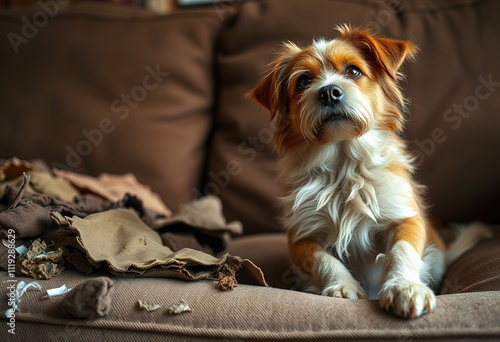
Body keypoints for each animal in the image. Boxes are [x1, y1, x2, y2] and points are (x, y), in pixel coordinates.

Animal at [248, 25, 490, 320]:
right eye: (303, 81)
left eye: (353, 71)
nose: (329, 92)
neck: (344, 163)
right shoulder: (301, 235)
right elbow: (322, 259)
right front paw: (343, 286)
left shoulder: (406, 216)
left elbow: (402, 250)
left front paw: (404, 287)